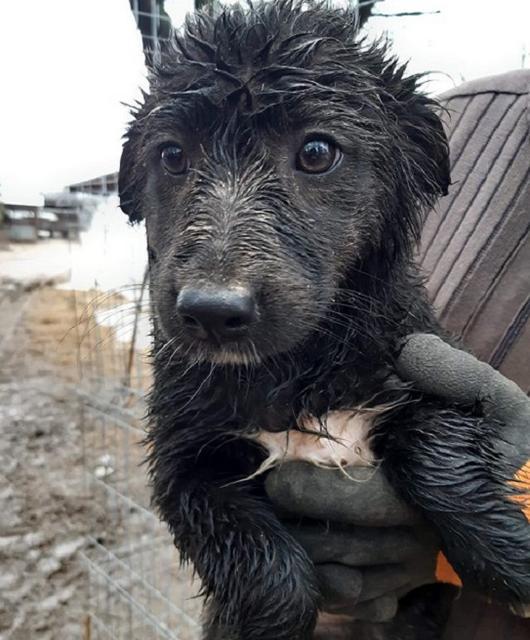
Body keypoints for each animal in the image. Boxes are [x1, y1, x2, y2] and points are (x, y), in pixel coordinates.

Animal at [118, 2, 528, 636]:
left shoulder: (419, 373)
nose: (211, 311)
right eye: (172, 155)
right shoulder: (184, 457)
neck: (293, 373)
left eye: (316, 152)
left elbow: (440, 451)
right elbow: (269, 570)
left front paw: (509, 555)